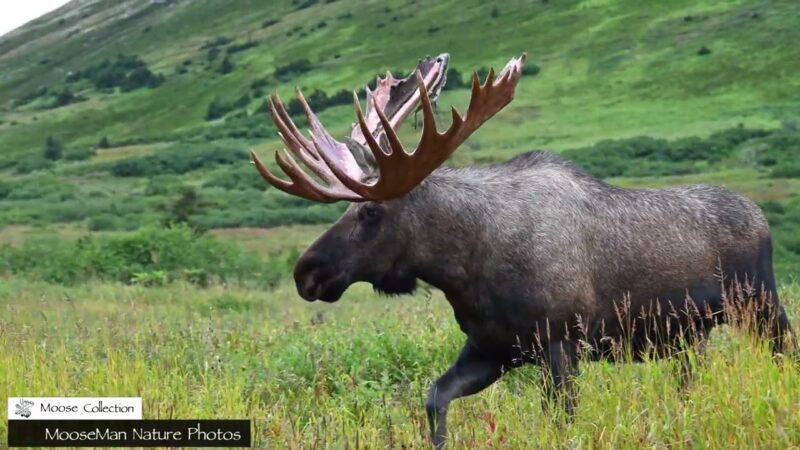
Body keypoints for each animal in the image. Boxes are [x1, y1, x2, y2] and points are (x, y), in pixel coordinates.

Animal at [252, 51, 792, 446]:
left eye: (369, 212)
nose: (307, 272)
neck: (465, 267)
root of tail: (761, 217)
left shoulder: (562, 342)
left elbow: (562, 420)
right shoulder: (492, 347)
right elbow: (434, 399)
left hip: (762, 306)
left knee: (786, 356)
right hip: (690, 336)